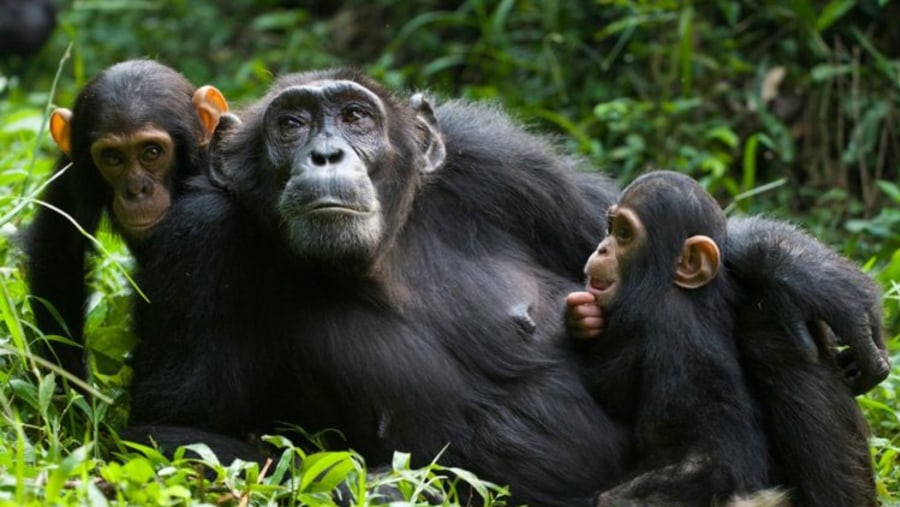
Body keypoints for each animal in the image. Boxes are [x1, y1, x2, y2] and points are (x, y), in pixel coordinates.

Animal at [25, 59, 229, 380]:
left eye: (152, 152)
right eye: (112, 157)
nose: (136, 190)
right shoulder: (72, 167)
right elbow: (59, 250)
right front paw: (69, 384)